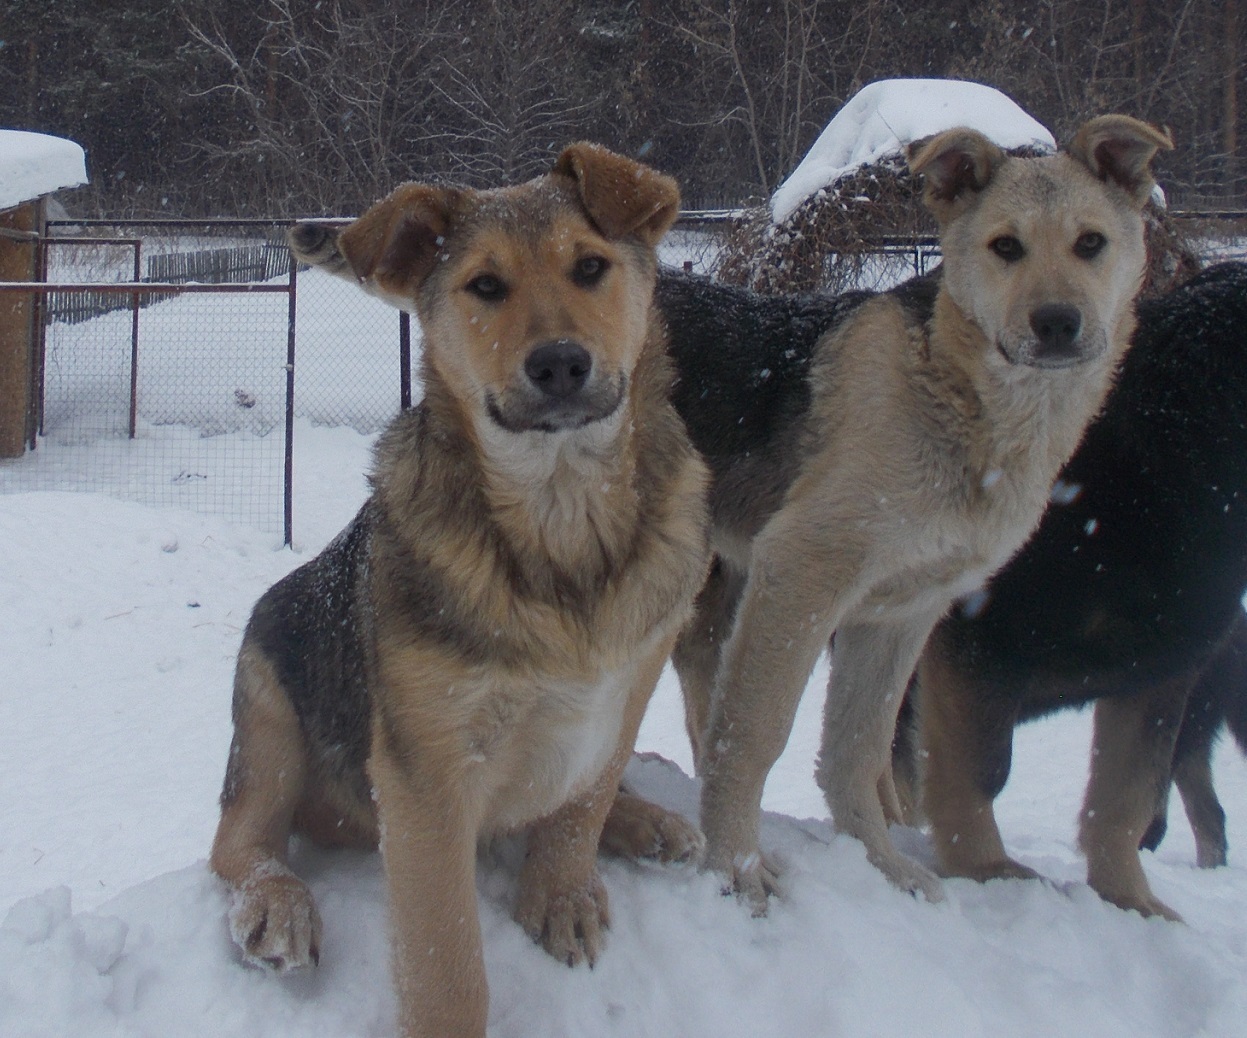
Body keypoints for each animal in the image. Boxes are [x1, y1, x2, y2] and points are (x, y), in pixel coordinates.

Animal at [209, 144, 708, 1038]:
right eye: (484, 286)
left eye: (590, 267)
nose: (558, 363)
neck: (561, 521)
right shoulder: (427, 773)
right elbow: (445, 961)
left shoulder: (625, 686)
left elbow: (582, 800)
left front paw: (562, 890)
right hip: (267, 707)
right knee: (241, 841)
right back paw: (277, 907)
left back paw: (643, 821)